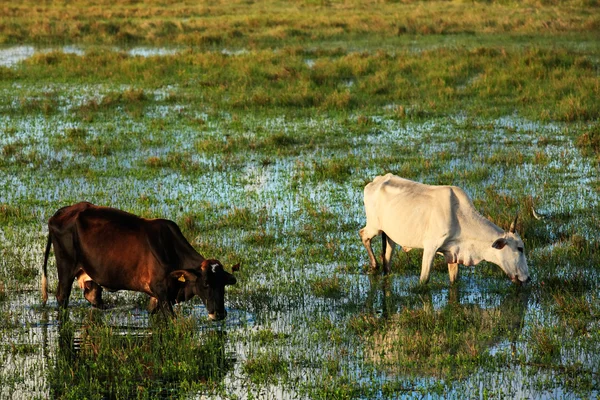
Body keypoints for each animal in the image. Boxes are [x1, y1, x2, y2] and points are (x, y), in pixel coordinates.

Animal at [41, 202, 238, 320]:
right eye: (205, 284)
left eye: (223, 284)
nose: (220, 313)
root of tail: (62, 212)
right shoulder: (162, 292)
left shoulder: (156, 296)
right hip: (65, 268)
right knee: (62, 297)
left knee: (93, 296)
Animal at [358, 174, 528, 284]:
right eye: (520, 248)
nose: (528, 278)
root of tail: (377, 180)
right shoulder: (430, 247)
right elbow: (424, 280)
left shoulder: (452, 253)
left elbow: (454, 281)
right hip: (374, 226)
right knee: (363, 234)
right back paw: (374, 265)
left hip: (390, 235)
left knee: (387, 258)